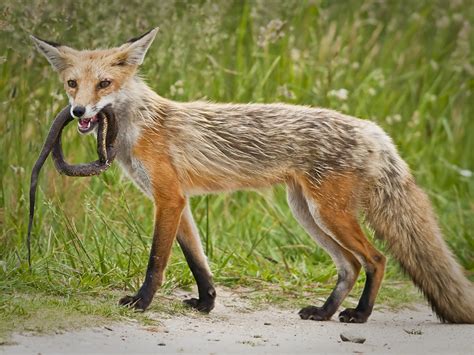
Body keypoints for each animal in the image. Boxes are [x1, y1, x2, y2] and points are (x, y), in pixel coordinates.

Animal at [30, 28, 474, 322]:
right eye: (73, 84)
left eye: (104, 83)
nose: (78, 112)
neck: (140, 125)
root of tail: (375, 131)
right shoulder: (179, 201)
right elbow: (198, 261)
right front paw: (207, 302)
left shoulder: (168, 198)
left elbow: (157, 260)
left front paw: (142, 303)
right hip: (308, 214)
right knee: (350, 266)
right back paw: (325, 311)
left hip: (329, 214)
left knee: (376, 259)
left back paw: (360, 314)